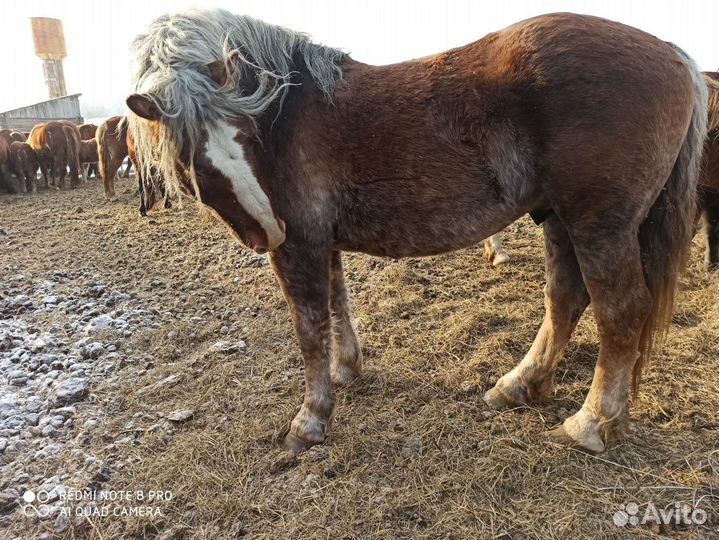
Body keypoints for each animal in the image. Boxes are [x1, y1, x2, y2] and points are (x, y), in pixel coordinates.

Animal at [127, 9, 707, 454]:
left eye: (246, 133)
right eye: (194, 157)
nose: (269, 229)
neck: (289, 113)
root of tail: (674, 53)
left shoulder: (300, 246)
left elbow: (309, 329)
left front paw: (310, 420)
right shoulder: (321, 241)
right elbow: (337, 303)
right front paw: (347, 371)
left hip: (599, 225)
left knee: (620, 312)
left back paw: (591, 423)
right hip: (561, 221)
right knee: (565, 300)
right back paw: (520, 386)